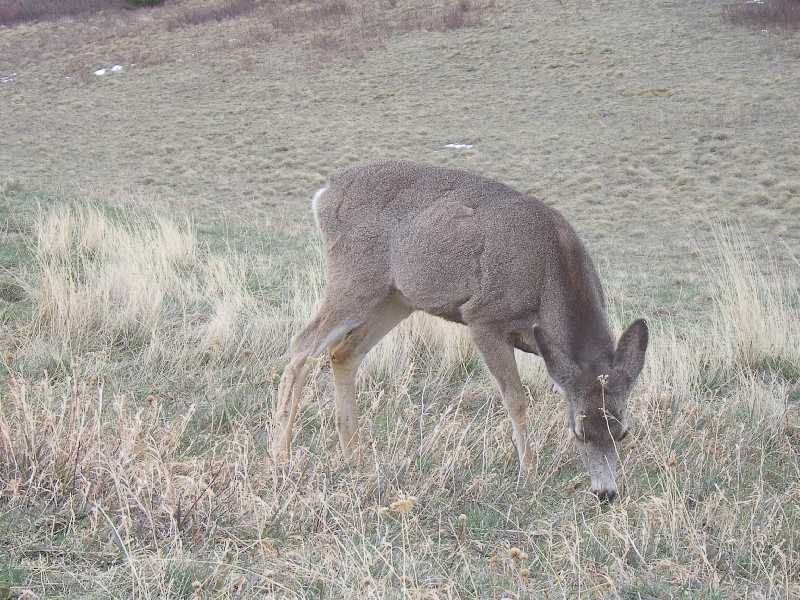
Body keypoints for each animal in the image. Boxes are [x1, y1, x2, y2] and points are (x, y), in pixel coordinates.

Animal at [272, 159, 648, 502]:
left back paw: (354, 456)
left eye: (623, 432)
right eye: (578, 431)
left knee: (343, 353)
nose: (605, 493)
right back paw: (280, 456)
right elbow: (516, 399)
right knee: (301, 344)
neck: (551, 272)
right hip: (355, 277)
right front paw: (529, 473)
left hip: (396, 296)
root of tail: (324, 193)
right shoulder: (483, 316)